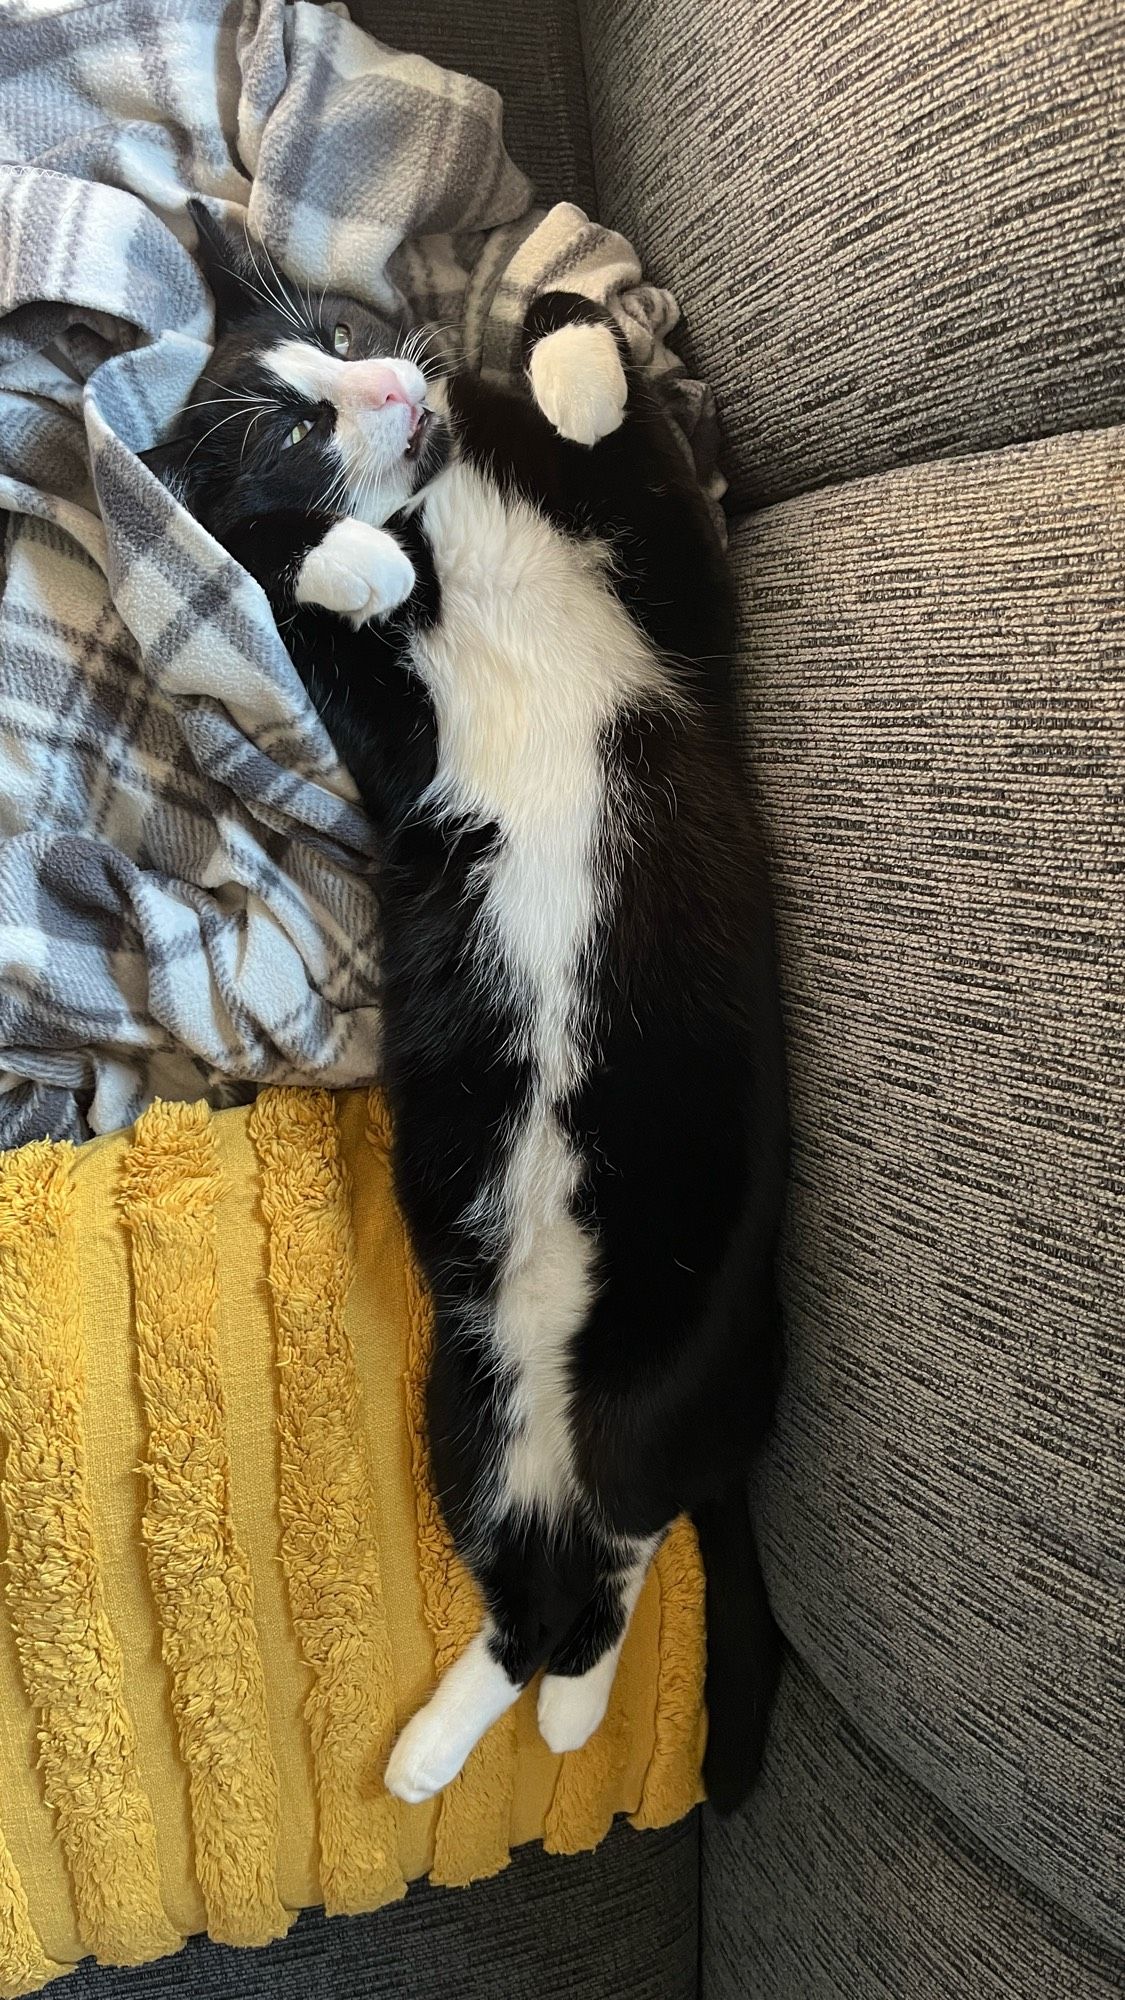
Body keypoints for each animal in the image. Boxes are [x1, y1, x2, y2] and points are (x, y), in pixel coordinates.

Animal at [144, 203, 784, 1816]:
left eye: (346, 334)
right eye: (291, 428)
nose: (392, 386)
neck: (448, 522)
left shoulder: (683, 612)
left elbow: (627, 434)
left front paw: (561, 348)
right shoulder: (383, 735)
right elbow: (293, 603)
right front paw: (345, 563)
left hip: (653, 1369)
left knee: (618, 1554)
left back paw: (557, 1714)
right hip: (467, 1402)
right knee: (537, 1593)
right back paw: (454, 1744)